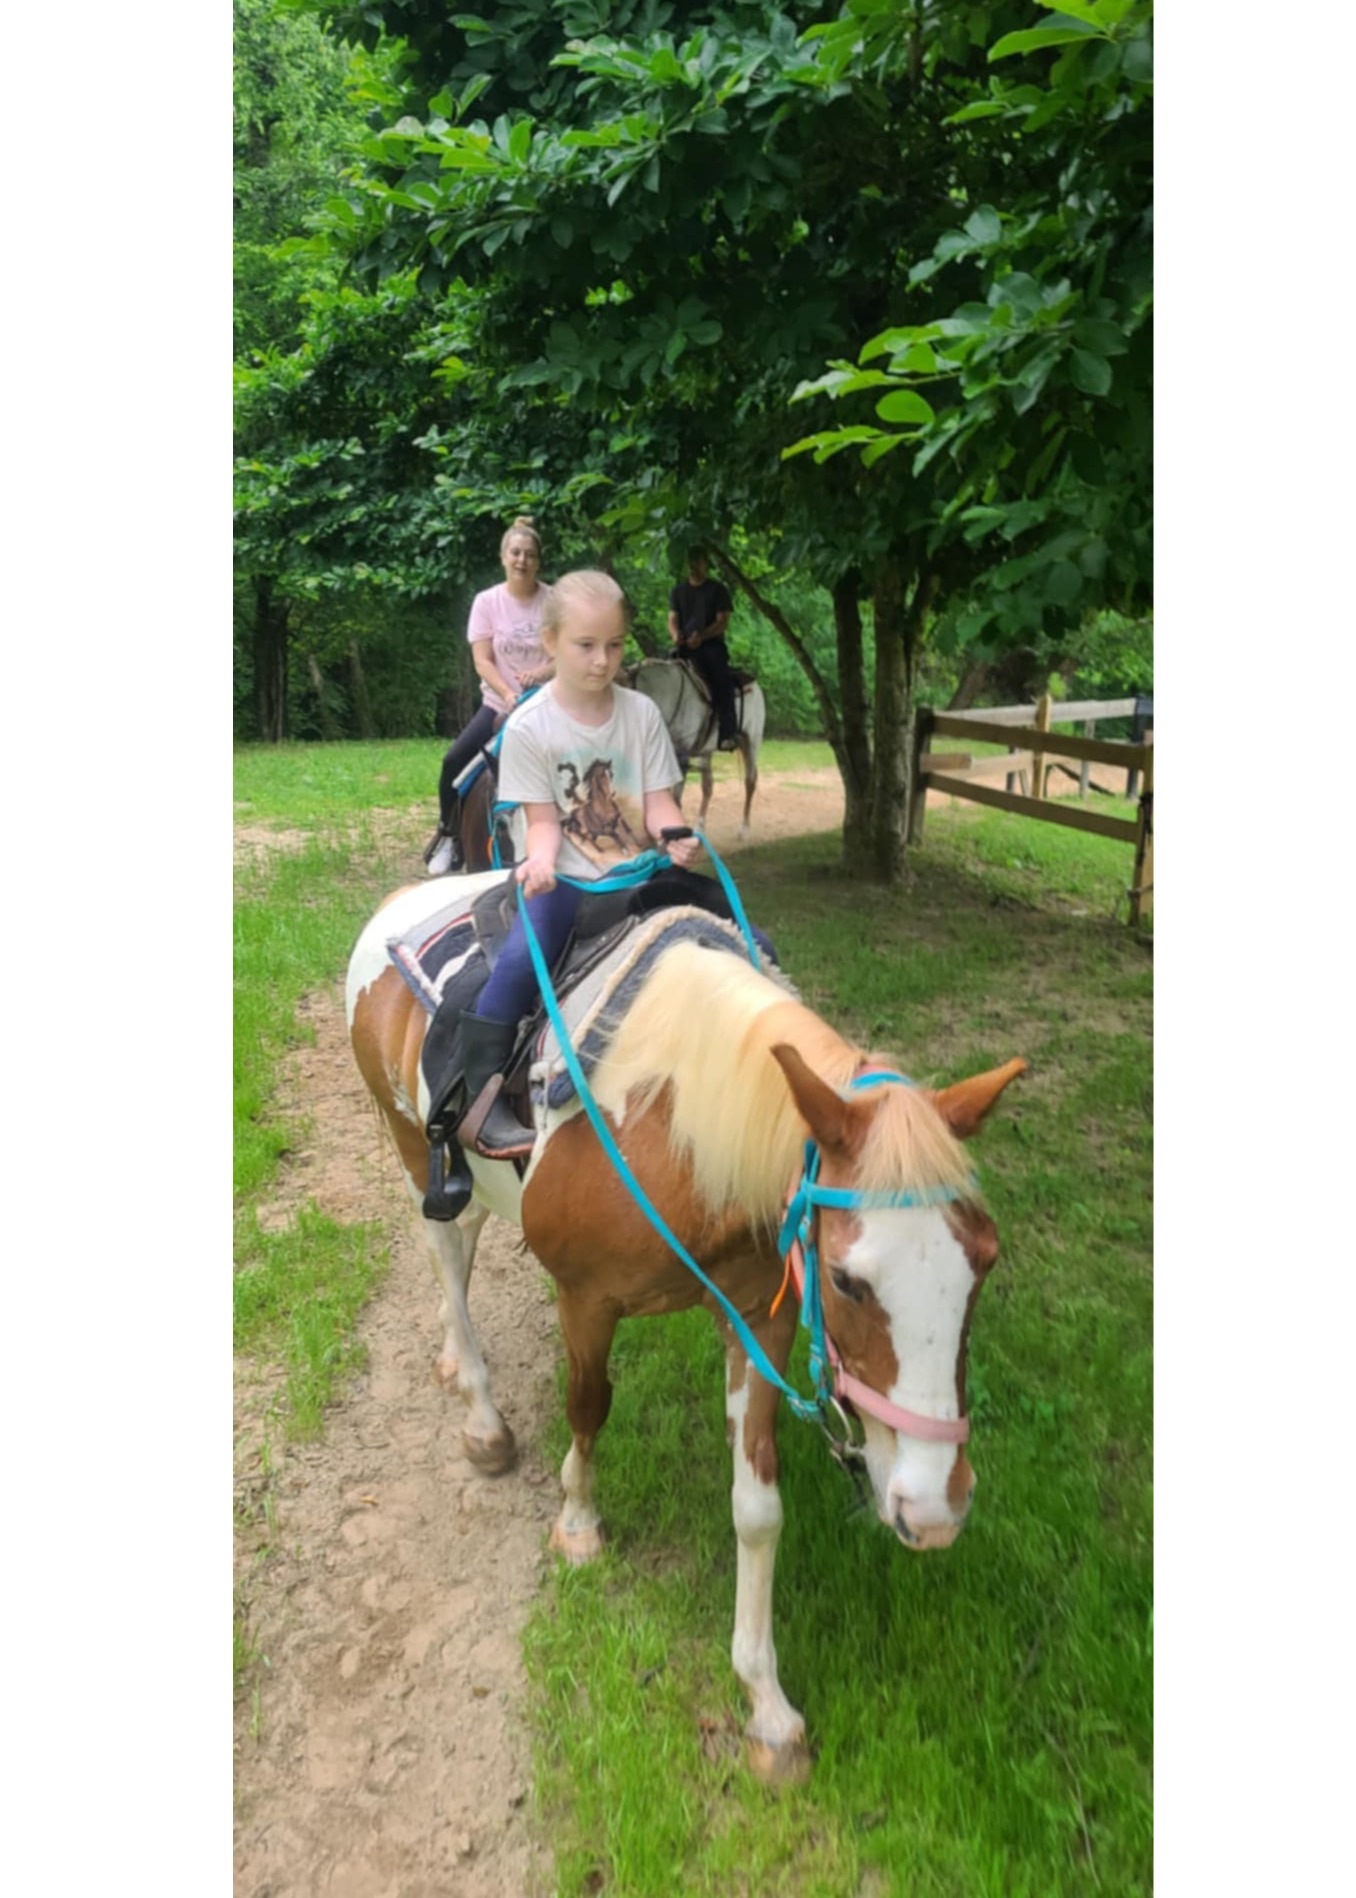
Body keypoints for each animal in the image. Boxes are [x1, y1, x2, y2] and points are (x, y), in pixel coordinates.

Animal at [347, 871, 1025, 1782]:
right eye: (847, 1280)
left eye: (984, 1262)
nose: (936, 1508)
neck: (667, 1128)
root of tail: (405, 900)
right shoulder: (586, 1299)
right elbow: (588, 1407)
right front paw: (578, 1525)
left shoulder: (761, 1323)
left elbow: (759, 1504)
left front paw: (767, 1708)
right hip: (411, 1147)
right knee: (447, 1259)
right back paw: (483, 1418)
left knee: (466, 1239)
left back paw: (456, 1364)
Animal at [628, 657, 765, 840]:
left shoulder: (680, 756)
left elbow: (675, 799)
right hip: (707, 751)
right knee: (708, 786)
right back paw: (699, 828)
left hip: (750, 741)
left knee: (750, 781)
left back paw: (744, 830)